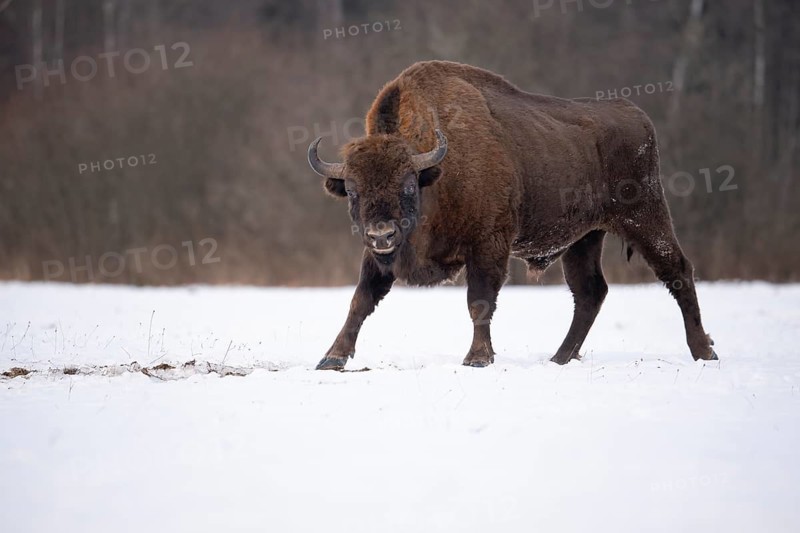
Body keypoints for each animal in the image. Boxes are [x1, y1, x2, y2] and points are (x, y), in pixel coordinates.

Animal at [307, 60, 718, 370]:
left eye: (408, 185)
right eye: (353, 191)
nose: (381, 234)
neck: (437, 173)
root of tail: (635, 114)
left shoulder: (488, 245)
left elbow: (479, 301)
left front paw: (477, 358)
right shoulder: (377, 258)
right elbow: (360, 300)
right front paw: (331, 359)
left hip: (645, 216)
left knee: (677, 270)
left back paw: (704, 351)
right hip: (584, 237)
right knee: (590, 292)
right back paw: (559, 358)